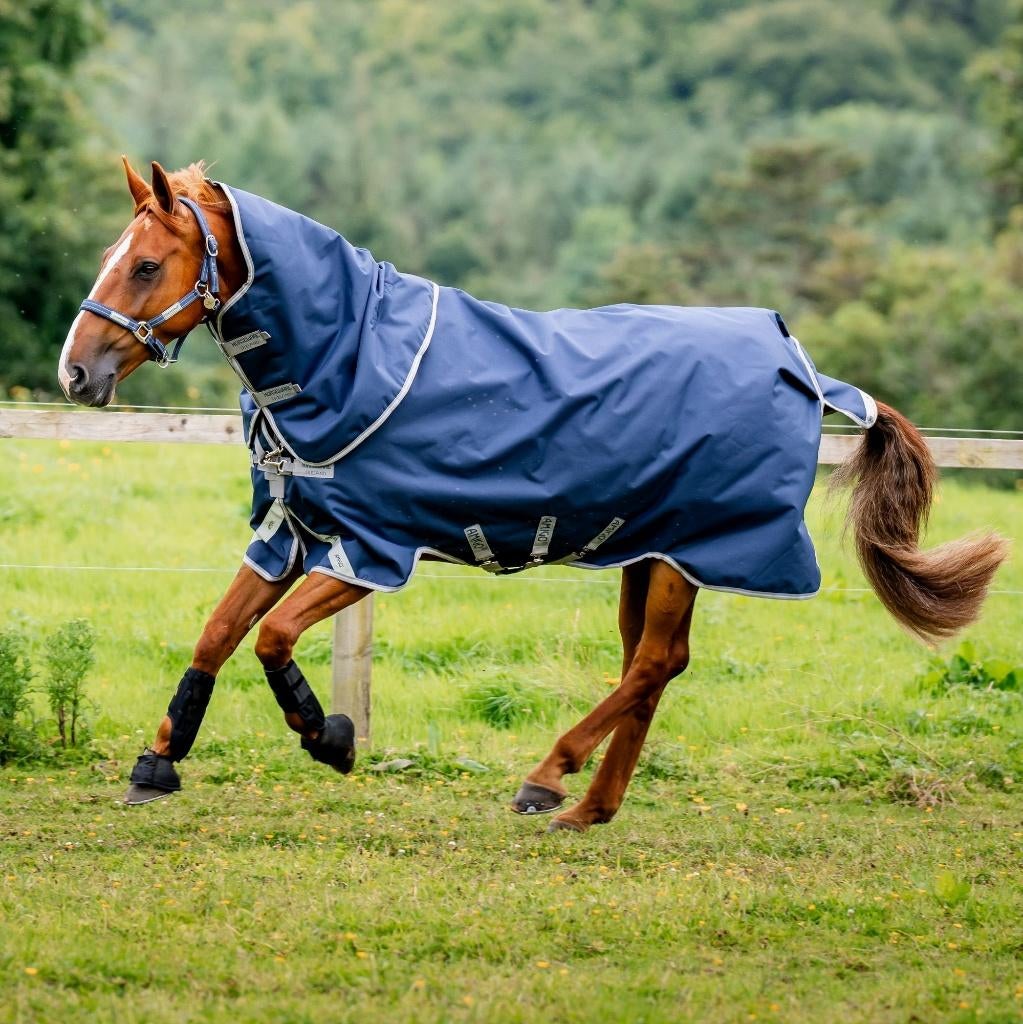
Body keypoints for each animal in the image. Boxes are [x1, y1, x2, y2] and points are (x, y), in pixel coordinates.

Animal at [57, 158, 1007, 832]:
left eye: (146, 264)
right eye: (108, 258)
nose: (76, 373)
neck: (349, 358)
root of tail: (801, 365)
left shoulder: (372, 549)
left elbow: (272, 638)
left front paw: (329, 737)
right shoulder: (294, 531)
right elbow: (218, 633)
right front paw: (157, 765)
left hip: (688, 551)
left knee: (652, 664)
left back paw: (548, 779)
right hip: (650, 549)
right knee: (653, 664)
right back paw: (590, 808)